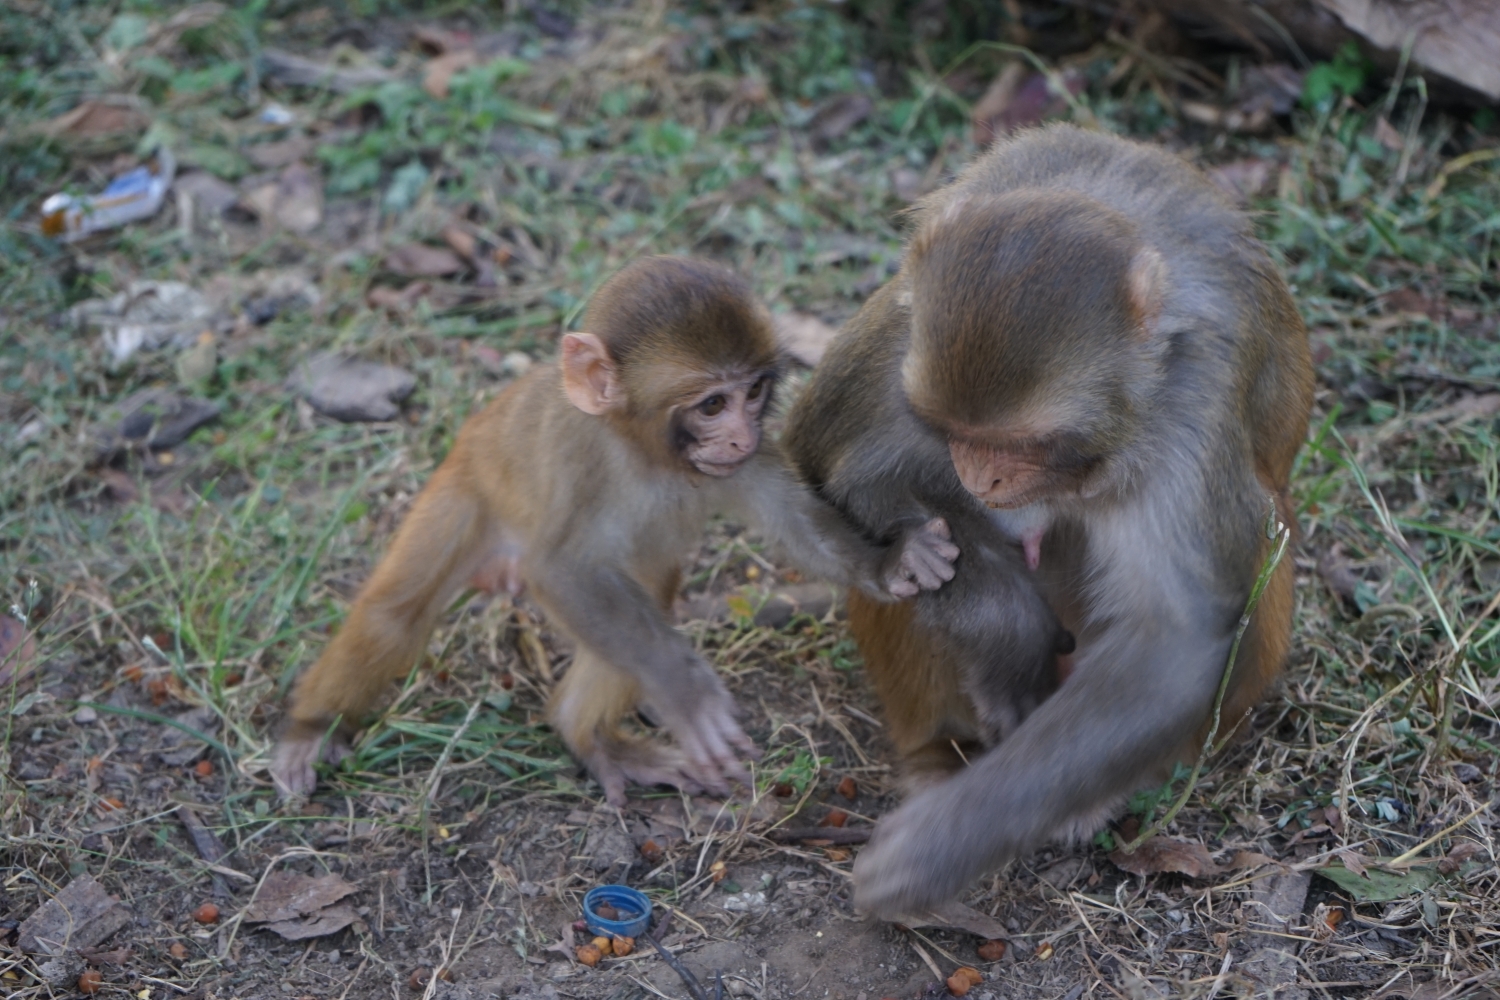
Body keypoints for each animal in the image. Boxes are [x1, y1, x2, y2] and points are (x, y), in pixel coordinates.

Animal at [274, 256, 954, 803]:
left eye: (756, 392)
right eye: (713, 404)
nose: (740, 435)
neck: (643, 453)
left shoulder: (750, 462)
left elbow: (797, 530)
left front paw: (893, 562)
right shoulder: (581, 459)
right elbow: (561, 570)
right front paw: (686, 695)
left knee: (645, 589)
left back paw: (588, 737)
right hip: (468, 488)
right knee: (396, 612)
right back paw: (311, 730)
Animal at [786, 127, 1314, 923]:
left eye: (1027, 444)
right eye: (955, 432)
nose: (981, 479)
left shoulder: (1194, 400)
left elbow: (1172, 641)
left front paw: (941, 848)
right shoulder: (900, 340)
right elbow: (825, 462)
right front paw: (991, 619)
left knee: (1262, 531)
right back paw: (936, 754)